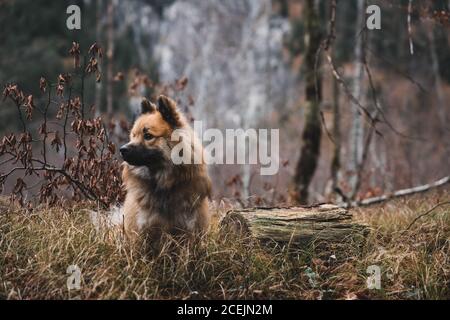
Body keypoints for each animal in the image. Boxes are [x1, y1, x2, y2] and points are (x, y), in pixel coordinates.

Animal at [118, 95, 212, 245]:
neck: (164, 183)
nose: (122, 149)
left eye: (148, 136)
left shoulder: (187, 231)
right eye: (133, 135)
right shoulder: (142, 232)